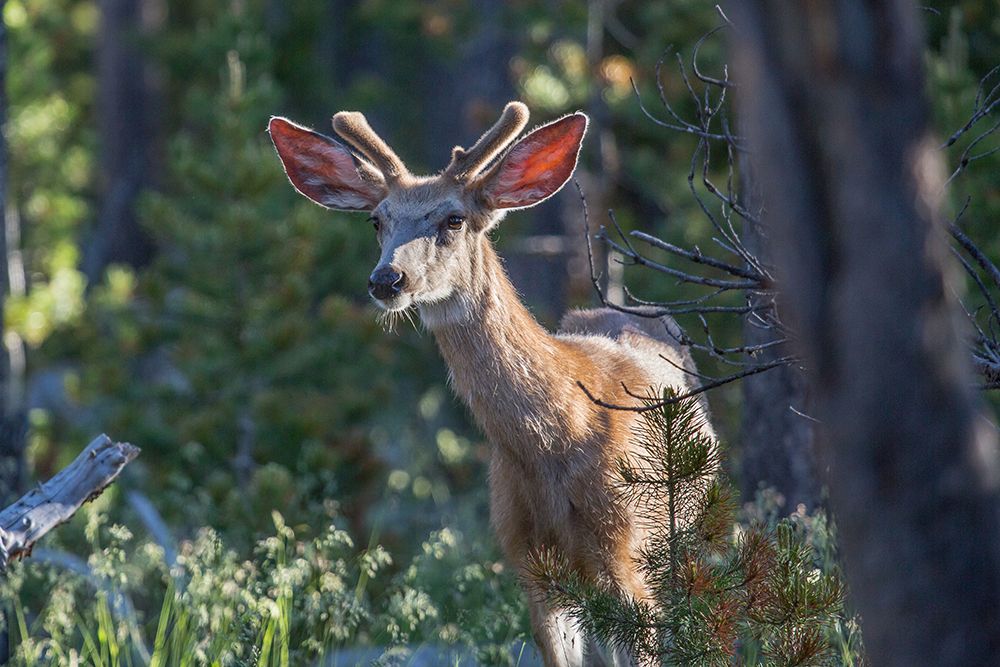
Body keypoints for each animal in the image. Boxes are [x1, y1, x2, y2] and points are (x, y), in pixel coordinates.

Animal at [270, 102, 716, 664]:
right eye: (377, 220)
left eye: (453, 218)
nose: (386, 280)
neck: (555, 441)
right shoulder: (526, 558)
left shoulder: (626, 549)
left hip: (682, 538)